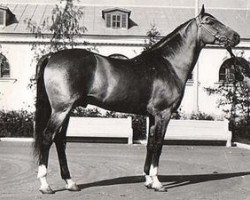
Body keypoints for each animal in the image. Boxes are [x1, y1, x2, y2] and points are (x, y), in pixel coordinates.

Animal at [33, 5, 240, 194]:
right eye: (210, 22)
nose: (236, 36)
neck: (168, 64)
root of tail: (52, 56)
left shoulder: (152, 116)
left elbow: (150, 144)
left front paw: (148, 180)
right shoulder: (163, 114)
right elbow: (158, 144)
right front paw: (157, 183)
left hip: (67, 110)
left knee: (60, 140)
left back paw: (70, 183)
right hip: (61, 109)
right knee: (47, 137)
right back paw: (45, 185)